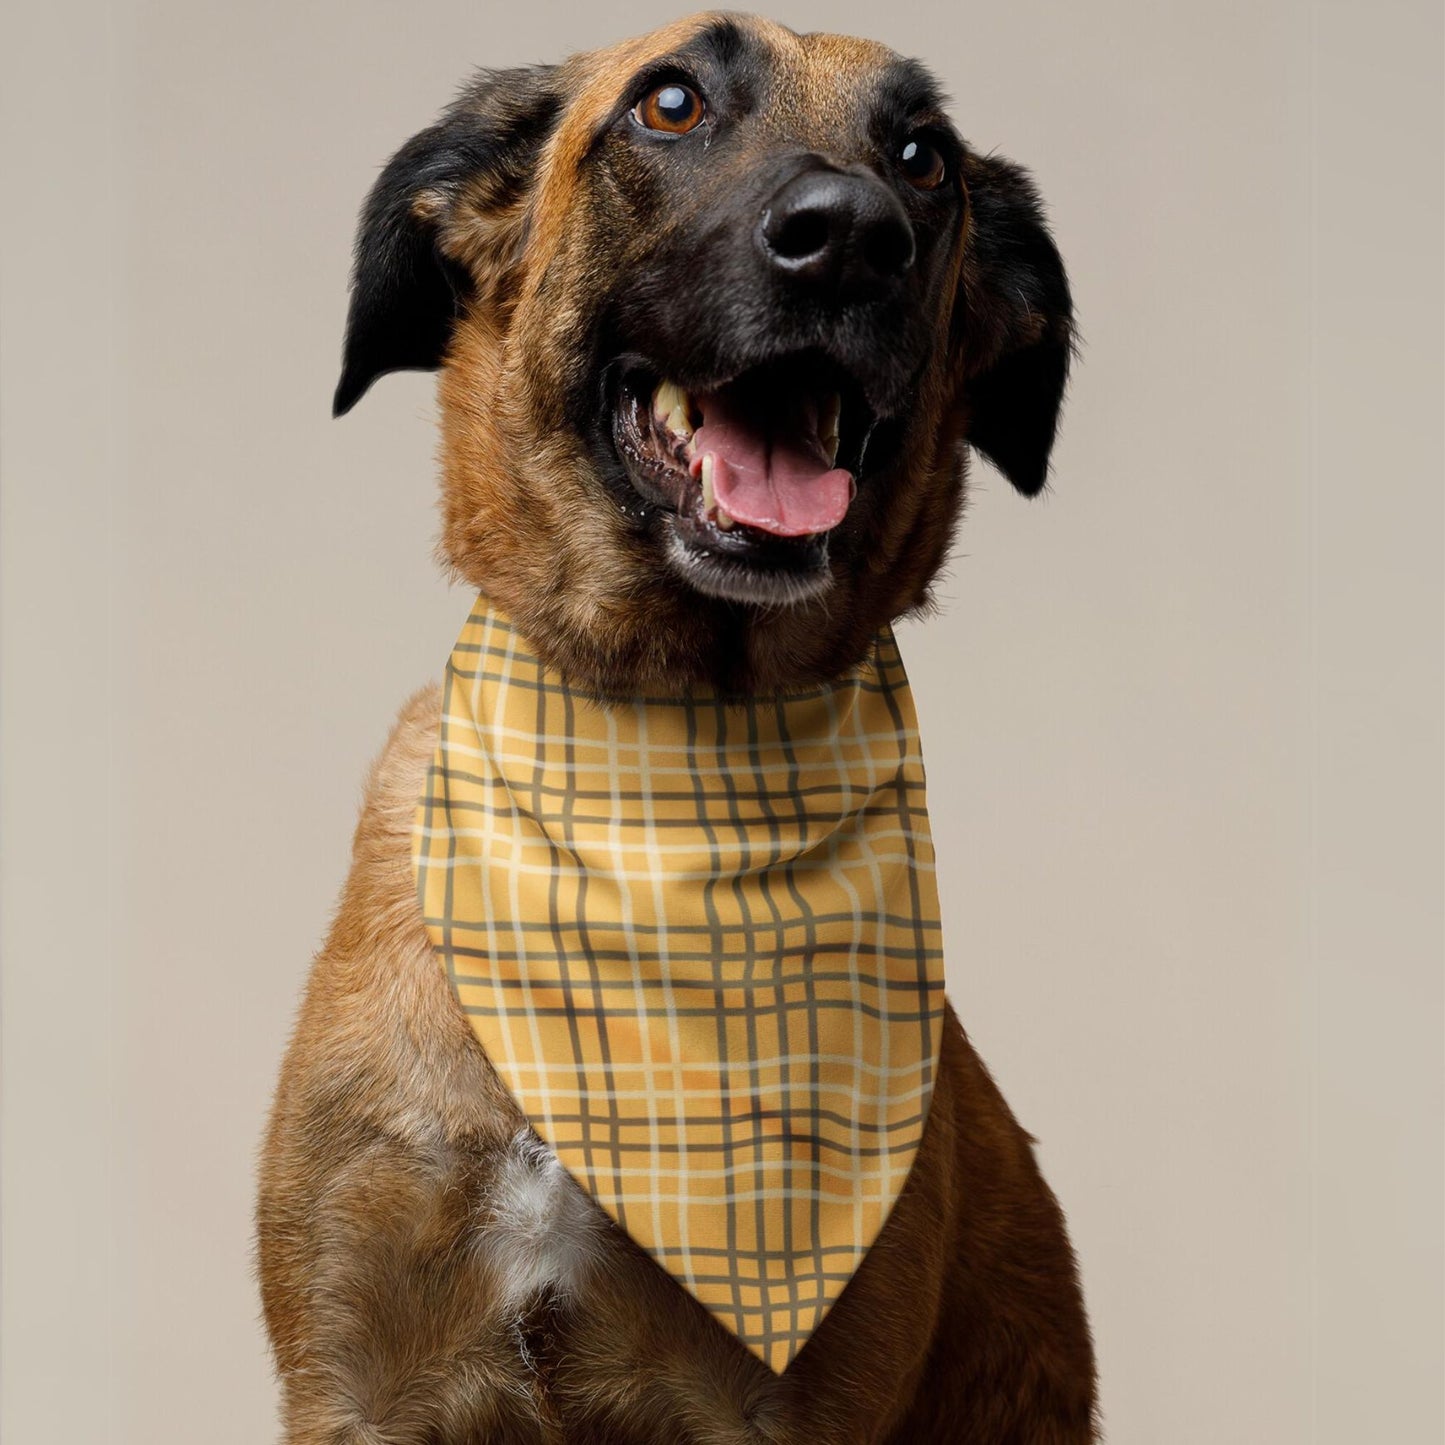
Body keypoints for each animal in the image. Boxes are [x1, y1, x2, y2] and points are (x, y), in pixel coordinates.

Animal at [260, 14, 1092, 1445]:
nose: (851, 234)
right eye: (669, 103)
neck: (658, 765)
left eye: (922, 157)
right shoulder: (356, 1379)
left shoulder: (776, 1407)